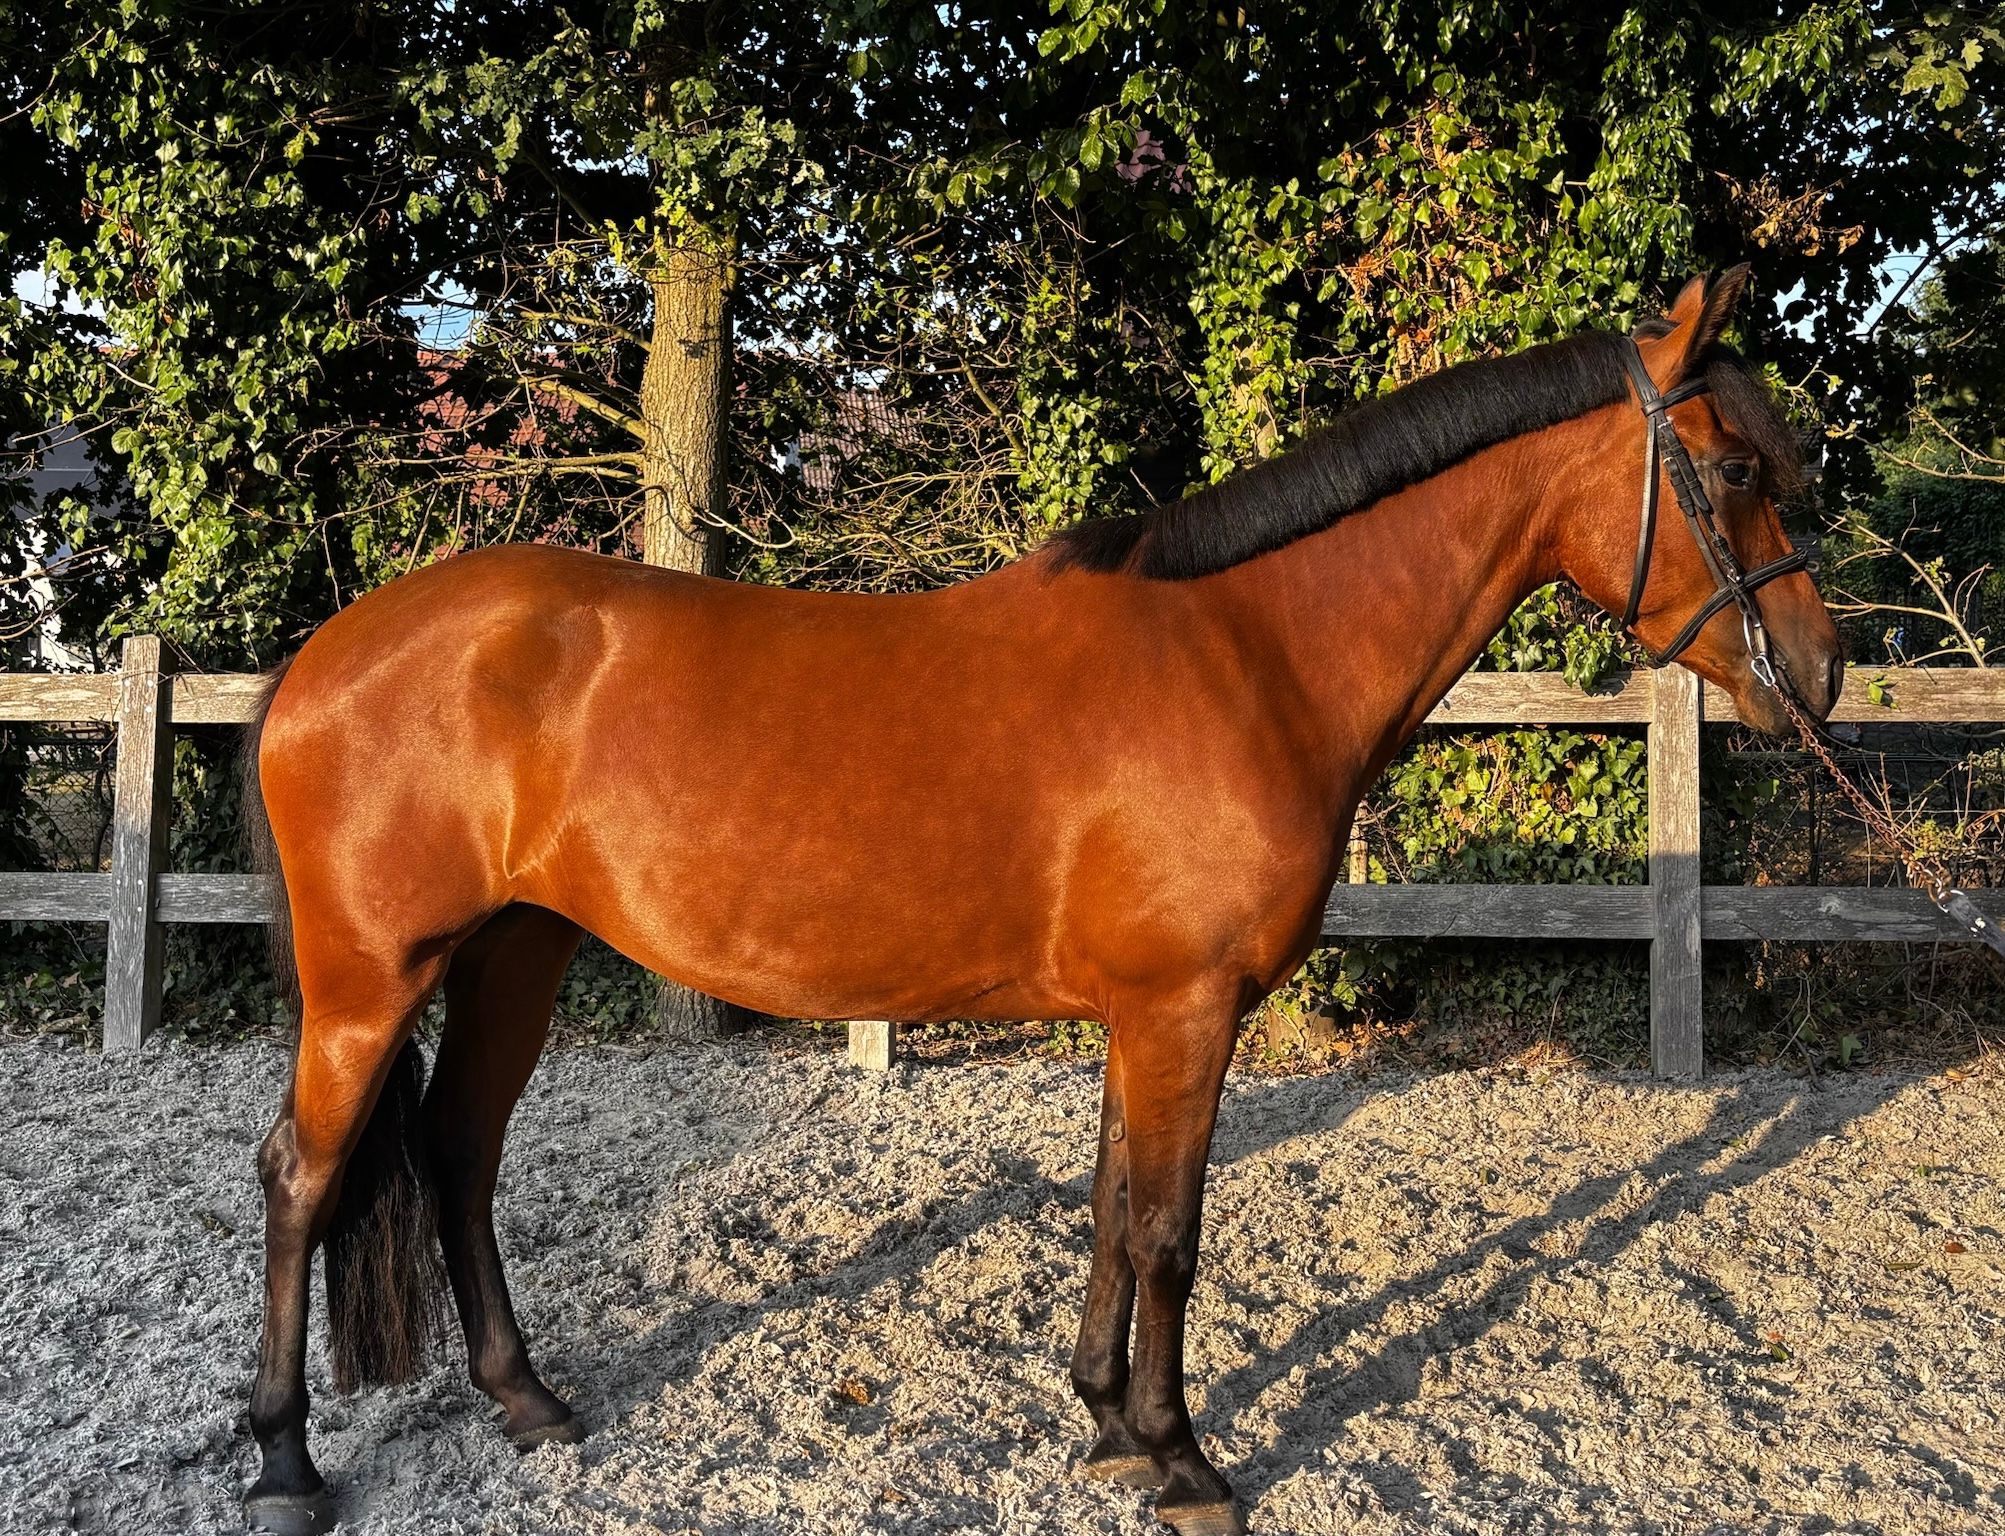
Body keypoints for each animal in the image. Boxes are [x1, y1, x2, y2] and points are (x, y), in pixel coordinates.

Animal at [239, 268, 1842, 1536]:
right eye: (1733, 472)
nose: (1816, 678)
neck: (1247, 654)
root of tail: (330, 653)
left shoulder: (1145, 1009)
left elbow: (1113, 1206)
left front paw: (1106, 1425)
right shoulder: (1187, 1007)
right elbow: (1169, 1230)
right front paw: (1183, 1463)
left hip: (514, 952)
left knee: (459, 1153)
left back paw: (526, 1402)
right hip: (372, 978)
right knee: (301, 1177)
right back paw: (284, 1465)